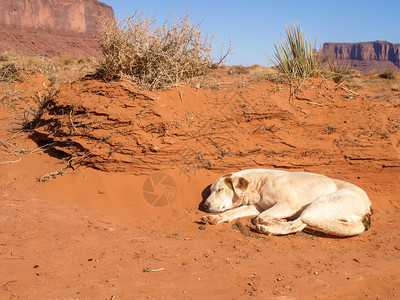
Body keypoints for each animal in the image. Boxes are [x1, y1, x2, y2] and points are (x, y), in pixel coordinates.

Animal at [200, 169, 372, 237]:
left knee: (297, 224)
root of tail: (368, 207)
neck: (259, 184)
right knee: (297, 224)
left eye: (220, 190)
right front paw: (215, 218)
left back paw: (268, 227)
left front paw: (271, 221)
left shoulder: (288, 205)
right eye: (211, 191)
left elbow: (261, 216)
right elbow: (232, 212)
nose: (205, 206)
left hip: (319, 203)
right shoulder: (255, 207)